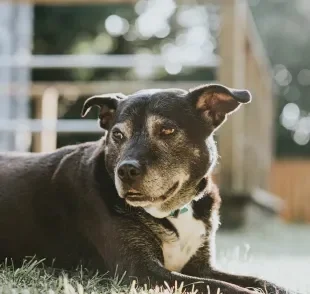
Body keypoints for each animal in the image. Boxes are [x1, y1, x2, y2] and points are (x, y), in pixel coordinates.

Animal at [0, 84, 296, 292]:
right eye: (117, 135)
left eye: (167, 130)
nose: (126, 170)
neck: (174, 209)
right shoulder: (142, 271)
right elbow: (225, 287)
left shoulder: (202, 266)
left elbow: (257, 280)